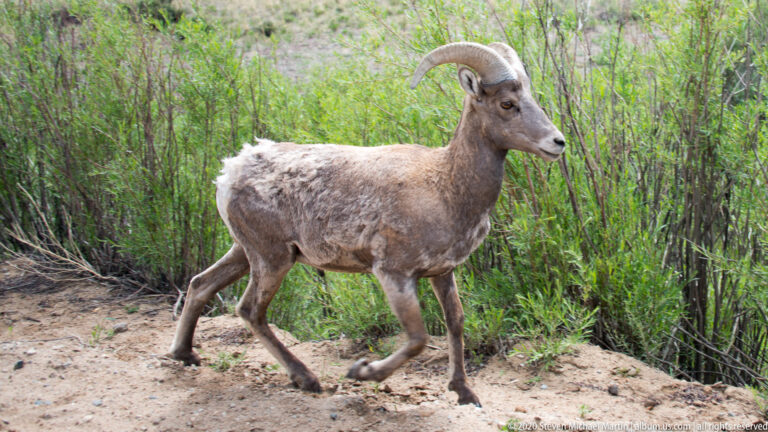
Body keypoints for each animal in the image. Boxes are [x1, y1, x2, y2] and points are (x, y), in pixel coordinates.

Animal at [169, 42, 566, 407]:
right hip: (272, 260)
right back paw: (306, 379)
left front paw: (465, 393)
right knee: (250, 310)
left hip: (245, 252)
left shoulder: (442, 272)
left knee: (201, 284)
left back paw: (184, 354)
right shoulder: (394, 273)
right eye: (507, 104)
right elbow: (418, 338)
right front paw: (362, 372)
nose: (557, 142)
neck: (446, 185)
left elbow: (455, 322)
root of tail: (230, 171)